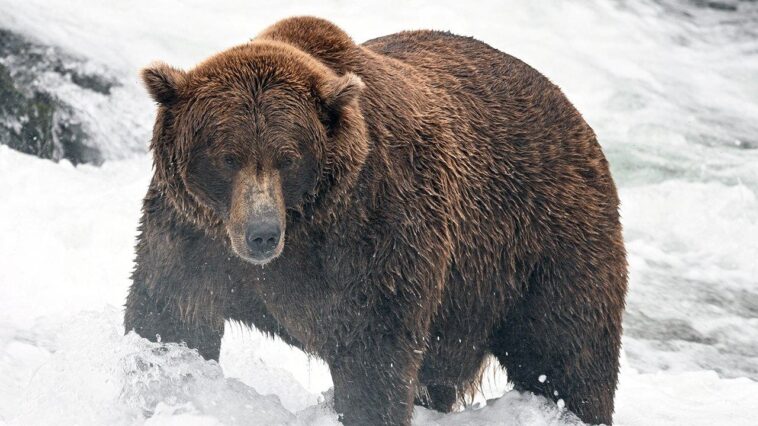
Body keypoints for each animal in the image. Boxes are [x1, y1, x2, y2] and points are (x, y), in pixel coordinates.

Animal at [125, 16, 627, 426]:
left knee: (567, 357)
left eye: (288, 157)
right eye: (227, 156)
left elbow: (373, 357)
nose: (261, 235)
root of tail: (574, 116)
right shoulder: (192, 236)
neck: (306, 227)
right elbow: (171, 317)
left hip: (542, 247)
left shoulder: (374, 234)